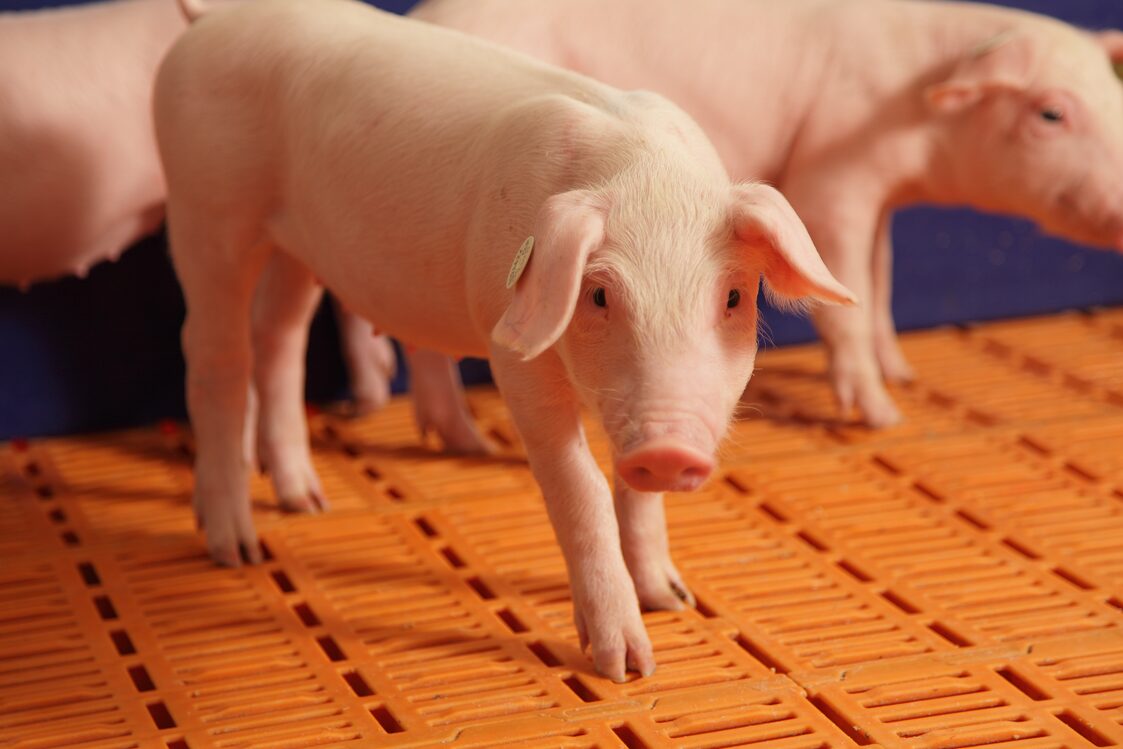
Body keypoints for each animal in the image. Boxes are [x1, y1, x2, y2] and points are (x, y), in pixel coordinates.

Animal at [155, 0, 854, 680]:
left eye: (733, 297)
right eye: (599, 295)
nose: (668, 448)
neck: (644, 174)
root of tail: (211, 20)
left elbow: (635, 495)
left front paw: (672, 599)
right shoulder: (512, 354)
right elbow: (582, 488)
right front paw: (627, 668)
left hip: (296, 246)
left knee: (279, 336)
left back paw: (306, 502)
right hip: (204, 212)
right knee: (213, 352)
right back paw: (237, 548)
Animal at [408, 0, 1123, 428]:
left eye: (1115, 98)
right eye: (1051, 113)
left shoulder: (882, 200)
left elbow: (881, 277)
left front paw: (903, 373)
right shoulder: (830, 177)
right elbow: (848, 294)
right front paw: (882, 417)